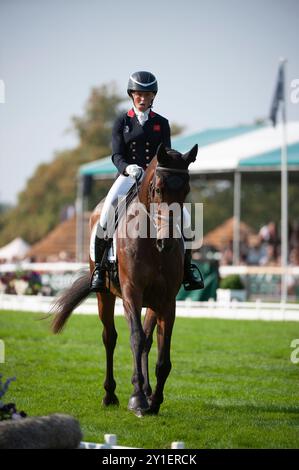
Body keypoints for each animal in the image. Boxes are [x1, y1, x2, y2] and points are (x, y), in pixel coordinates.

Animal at [51, 143, 199, 414]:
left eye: (186, 190)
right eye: (158, 189)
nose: (167, 243)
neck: (151, 243)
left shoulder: (167, 301)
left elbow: (162, 356)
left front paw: (153, 401)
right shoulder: (131, 294)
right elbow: (135, 339)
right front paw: (137, 399)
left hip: (151, 303)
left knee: (147, 340)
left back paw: (146, 390)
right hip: (105, 296)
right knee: (110, 337)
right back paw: (110, 395)